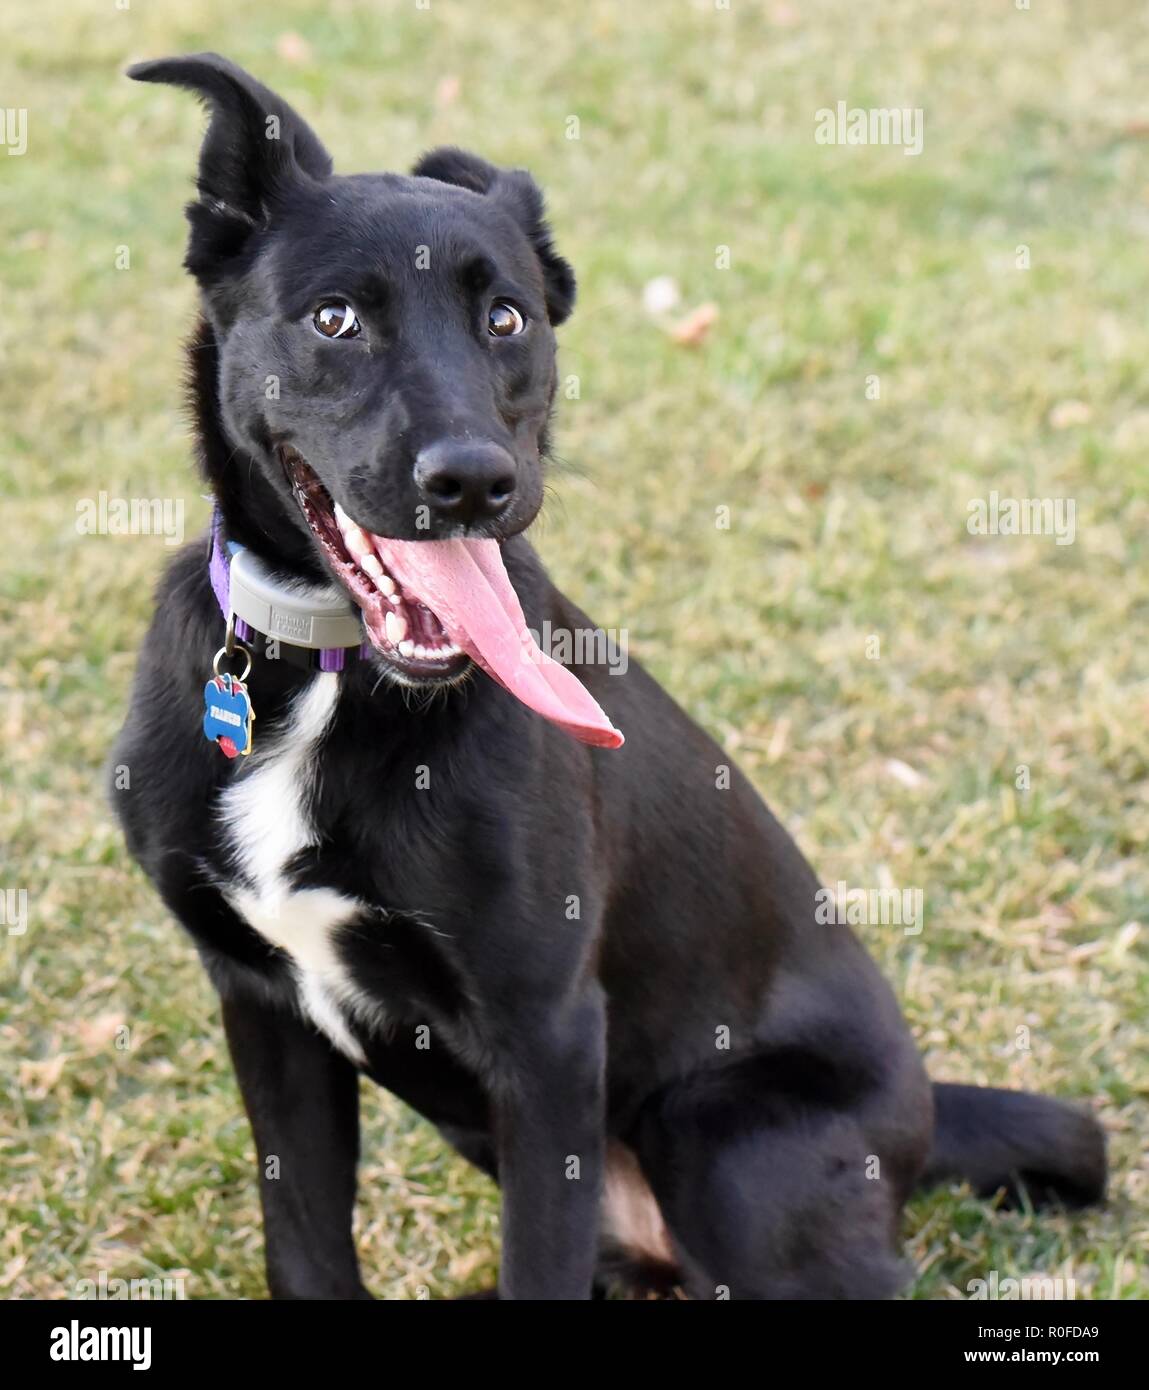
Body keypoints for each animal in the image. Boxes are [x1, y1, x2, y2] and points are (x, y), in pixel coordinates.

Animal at [114, 51, 1105, 1289]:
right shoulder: (264, 1004)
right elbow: (306, 1248)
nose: (475, 482)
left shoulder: (545, 1033)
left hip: (728, 1141)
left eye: (507, 318)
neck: (329, 681)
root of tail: (925, 1115)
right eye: (335, 319)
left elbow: (532, 1262)